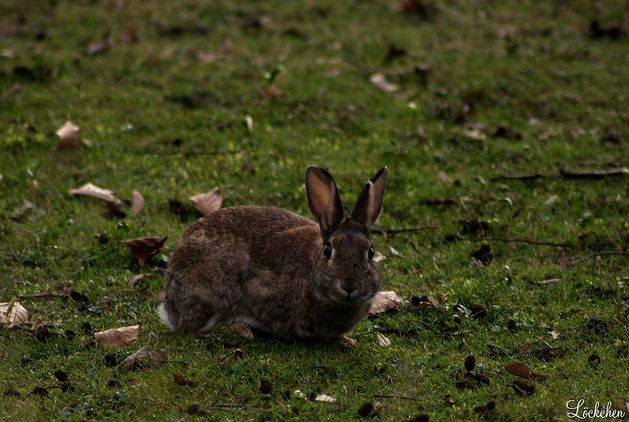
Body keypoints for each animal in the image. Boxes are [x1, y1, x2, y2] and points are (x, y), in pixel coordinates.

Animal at [158, 163, 388, 342]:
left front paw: (347, 340)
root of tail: (170, 308)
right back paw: (240, 330)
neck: (311, 271)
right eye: (328, 250)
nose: (349, 285)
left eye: (370, 252)